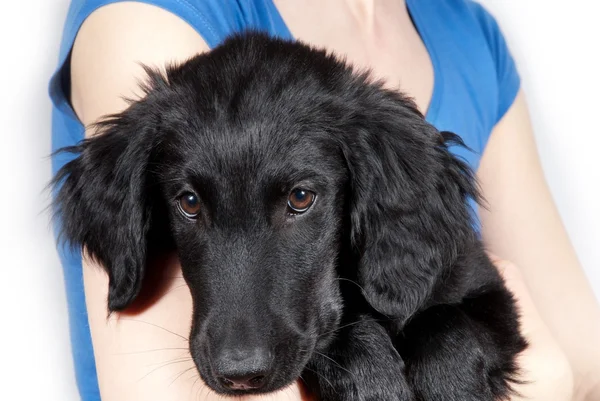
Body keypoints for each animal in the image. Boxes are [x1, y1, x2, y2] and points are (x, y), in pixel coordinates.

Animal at [54, 32, 528, 398]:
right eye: (189, 203)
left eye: (301, 198)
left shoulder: (483, 284)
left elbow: (447, 327)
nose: (240, 375)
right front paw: (372, 380)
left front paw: (454, 385)